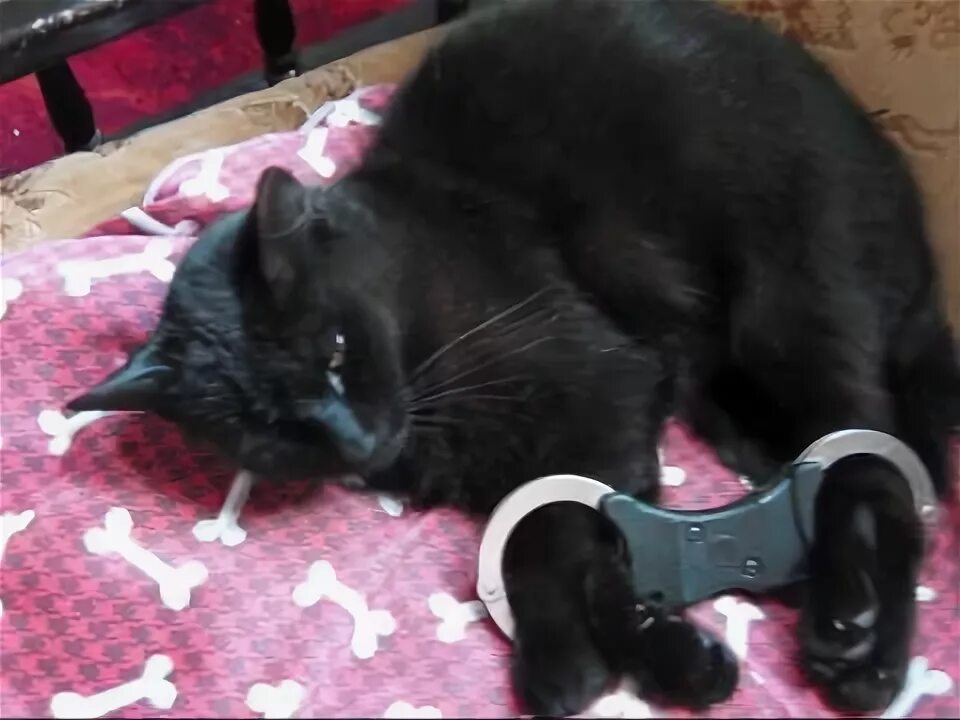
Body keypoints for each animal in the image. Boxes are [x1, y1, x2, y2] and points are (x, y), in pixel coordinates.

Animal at [68, 0, 959, 715]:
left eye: (336, 349)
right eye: (268, 431)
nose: (356, 442)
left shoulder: (600, 389)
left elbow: (541, 527)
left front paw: (565, 665)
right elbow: (590, 547)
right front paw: (663, 654)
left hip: (790, 305)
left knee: (880, 462)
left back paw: (859, 640)